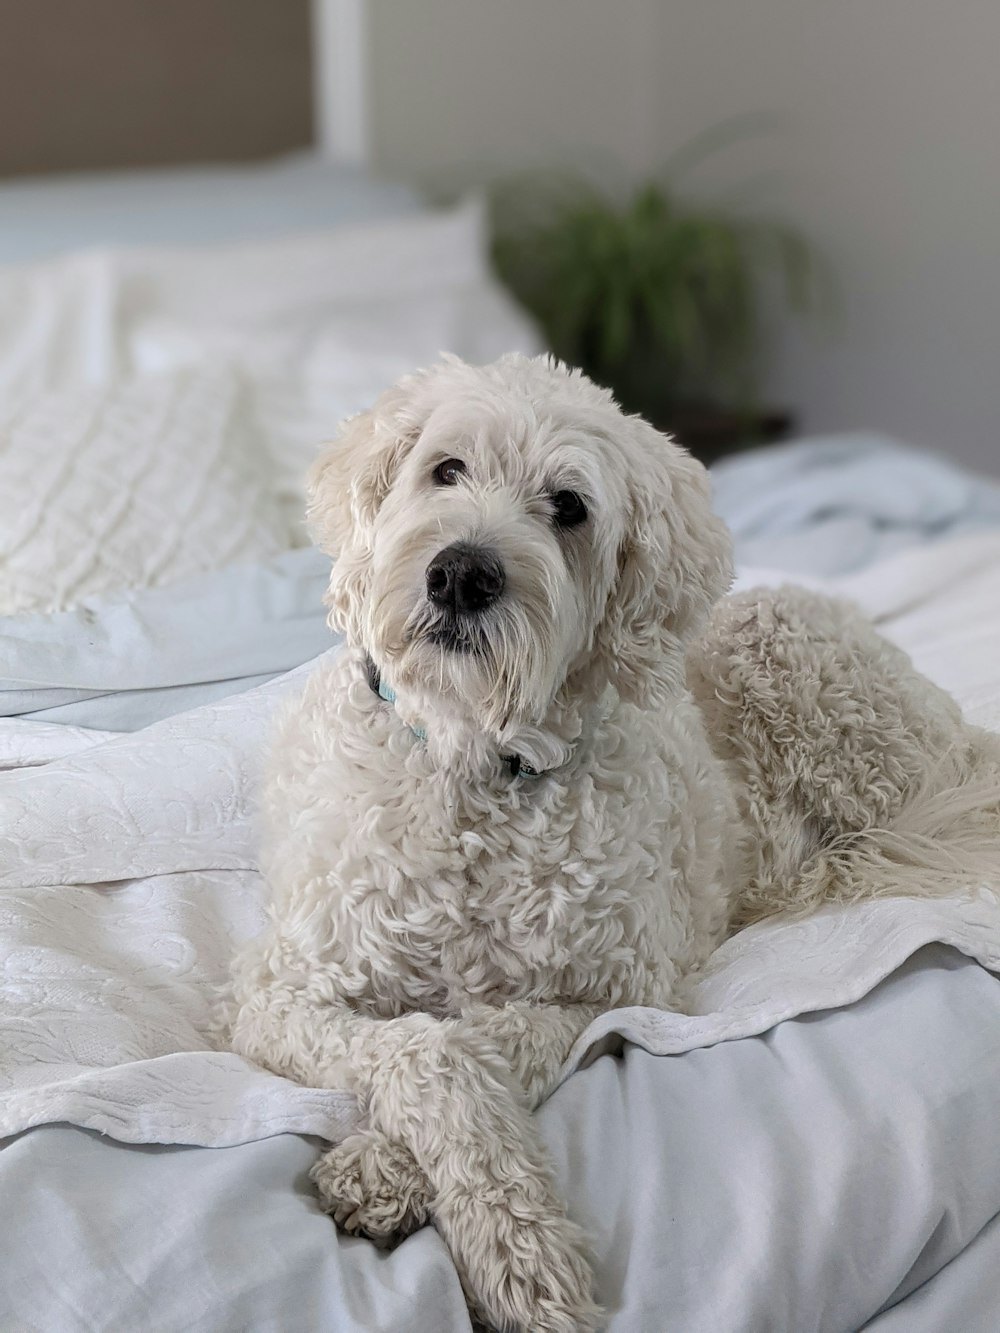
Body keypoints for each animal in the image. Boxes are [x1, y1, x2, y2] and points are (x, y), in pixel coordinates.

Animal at [229, 354, 1000, 1333]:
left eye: (569, 507)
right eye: (446, 469)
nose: (461, 574)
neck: (474, 768)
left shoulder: (610, 989)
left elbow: (472, 1040)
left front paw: (456, 1210)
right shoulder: (280, 992)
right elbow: (423, 1047)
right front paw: (477, 1224)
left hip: (821, 688)